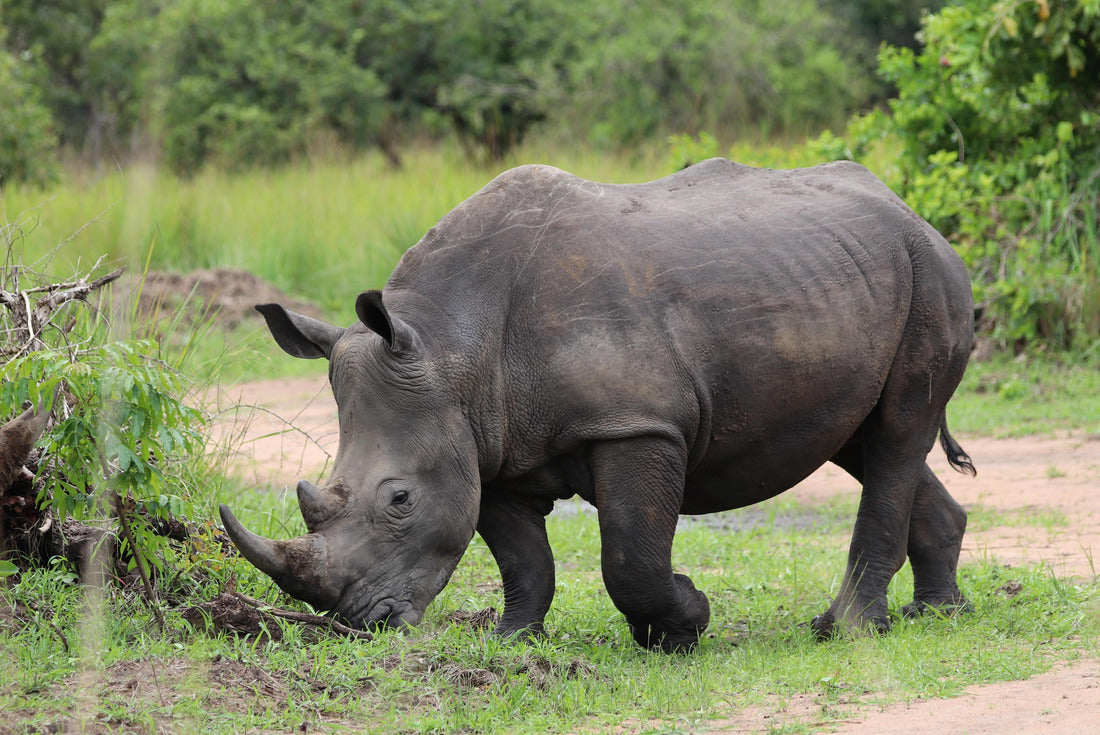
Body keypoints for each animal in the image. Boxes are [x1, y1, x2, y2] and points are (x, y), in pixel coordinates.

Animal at [220, 158, 975, 651]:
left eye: (400, 499)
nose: (358, 623)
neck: (450, 344)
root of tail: (915, 213)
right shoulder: (488, 442)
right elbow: (522, 556)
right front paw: (513, 641)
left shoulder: (636, 423)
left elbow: (630, 554)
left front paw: (682, 625)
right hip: (845, 279)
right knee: (863, 441)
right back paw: (936, 613)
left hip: (930, 278)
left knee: (897, 432)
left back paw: (846, 630)